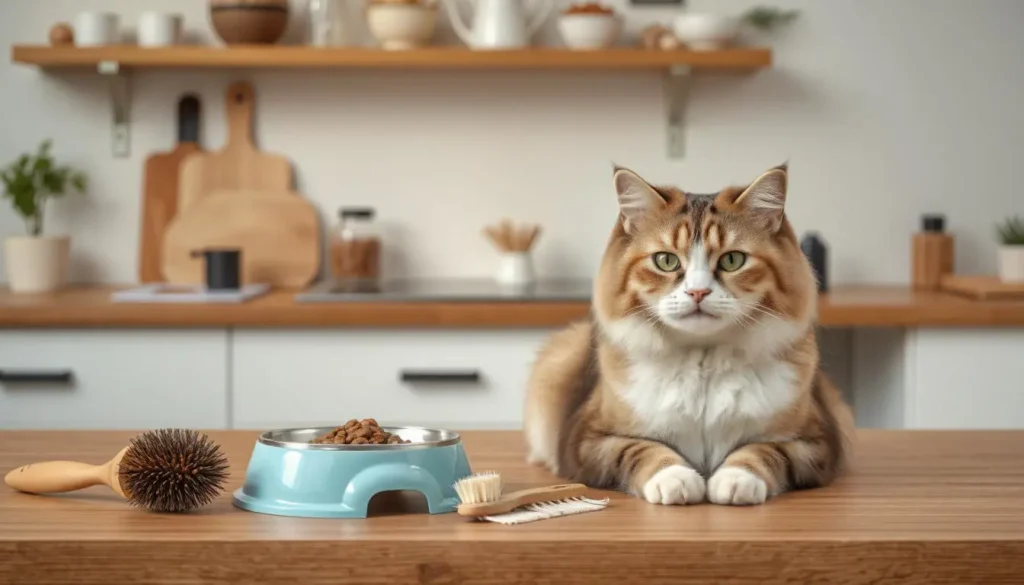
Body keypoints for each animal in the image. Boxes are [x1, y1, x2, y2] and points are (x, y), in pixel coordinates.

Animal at [524, 162, 851, 506]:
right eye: (666, 261)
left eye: (732, 260)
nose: (697, 292)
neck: (703, 359)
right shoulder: (587, 440)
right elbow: (640, 448)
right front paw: (675, 479)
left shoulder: (815, 441)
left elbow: (764, 450)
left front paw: (736, 480)